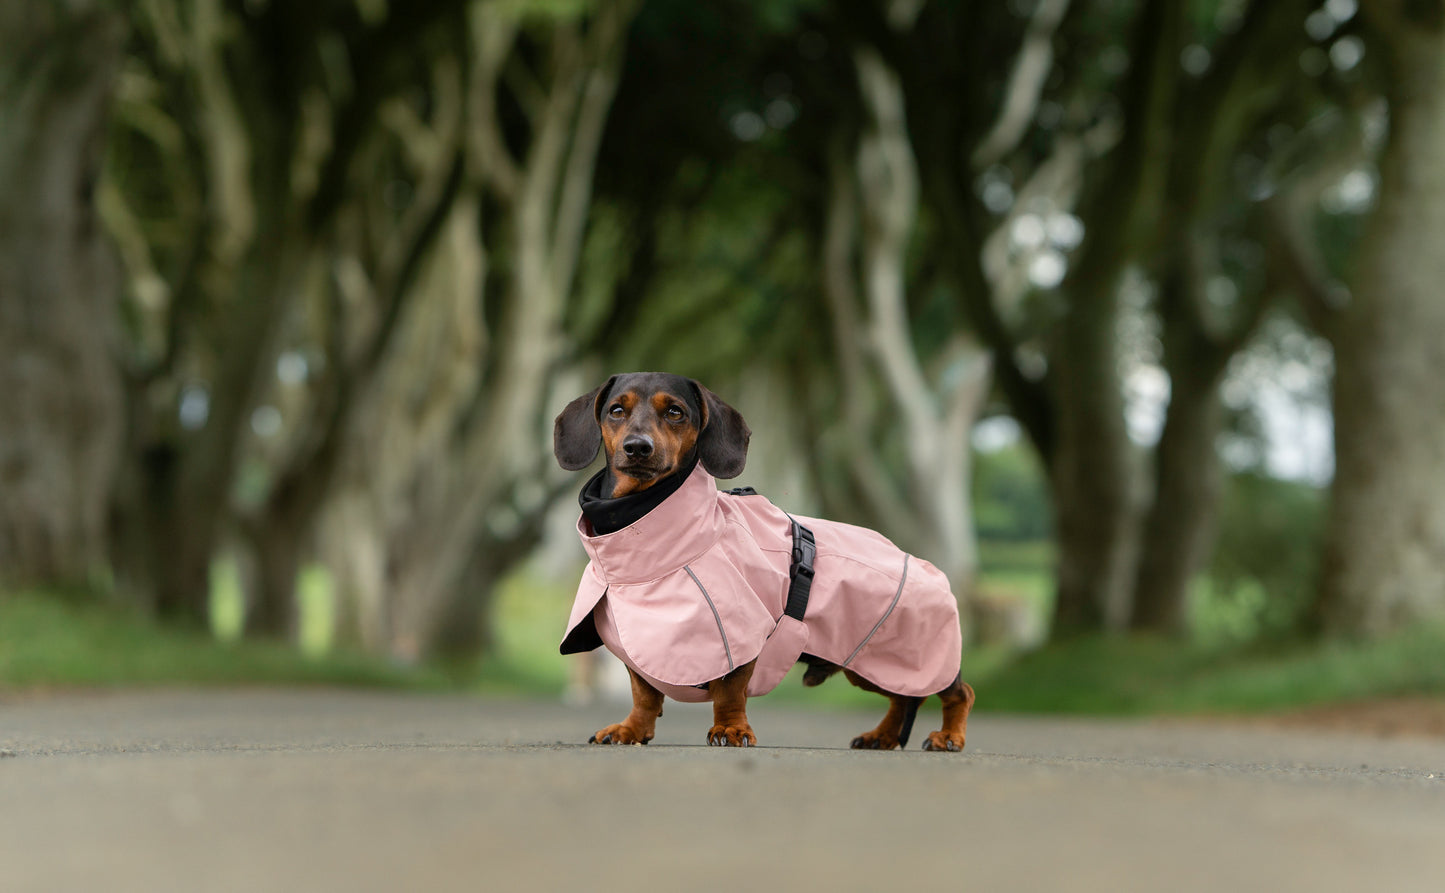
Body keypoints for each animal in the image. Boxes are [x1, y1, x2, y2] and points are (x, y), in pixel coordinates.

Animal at [551, 372, 971, 745]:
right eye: (616, 410)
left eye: (675, 412)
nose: (638, 447)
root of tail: (928, 567)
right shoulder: (638, 641)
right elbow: (644, 693)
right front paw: (632, 729)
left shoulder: (741, 633)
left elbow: (730, 690)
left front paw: (731, 728)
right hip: (870, 665)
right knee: (903, 696)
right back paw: (881, 737)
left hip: (916, 655)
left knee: (956, 692)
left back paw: (948, 736)